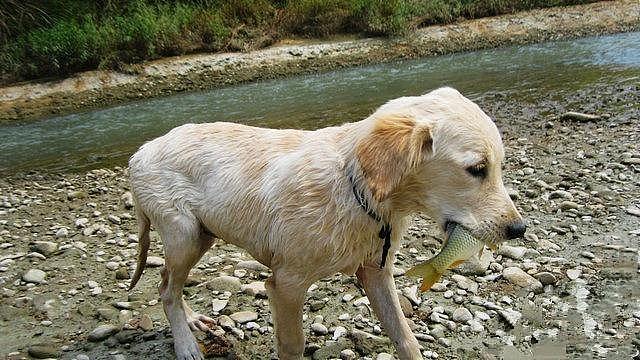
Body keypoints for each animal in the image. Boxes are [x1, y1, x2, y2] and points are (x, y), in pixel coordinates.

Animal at [126, 88, 524, 360]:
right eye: (477, 169)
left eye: (499, 166)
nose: (518, 229)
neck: (356, 189)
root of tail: (139, 151)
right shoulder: (285, 285)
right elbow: (293, 345)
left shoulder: (376, 272)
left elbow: (405, 336)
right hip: (184, 234)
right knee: (166, 288)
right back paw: (187, 344)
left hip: (201, 235)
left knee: (170, 285)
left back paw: (192, 321)